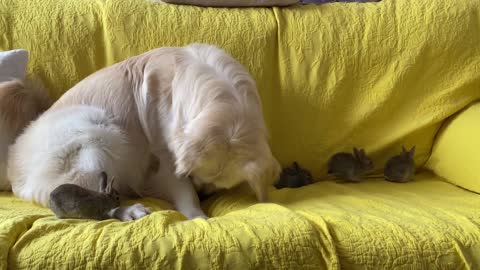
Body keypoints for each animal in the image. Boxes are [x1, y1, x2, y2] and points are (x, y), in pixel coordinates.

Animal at [8, 43, 282, 220]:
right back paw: (131, 210)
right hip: (97, 132)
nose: (205, 194)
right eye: (195, 176)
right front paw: (198, 216)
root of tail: (13, 170)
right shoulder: (166, 156)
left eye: (217, 185)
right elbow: (184, 191)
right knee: (97, 202)